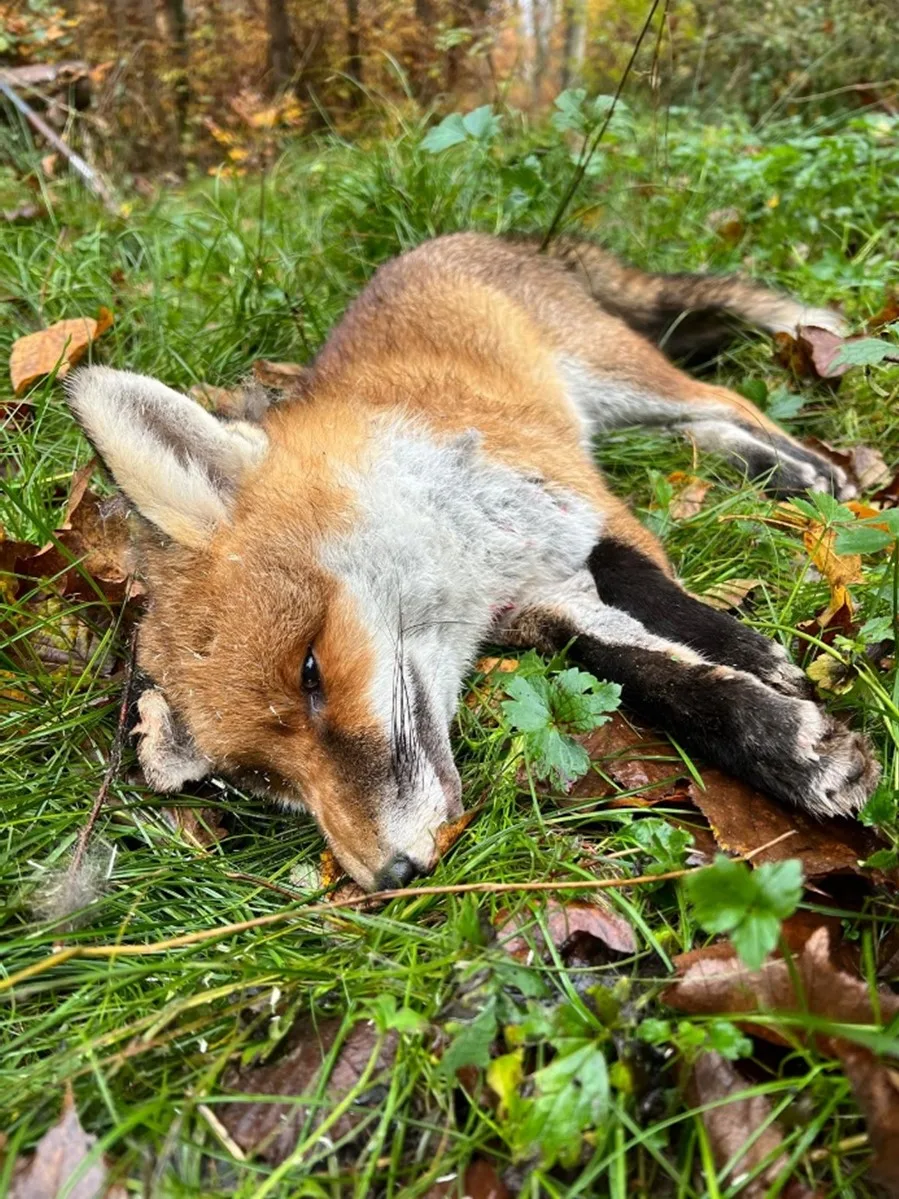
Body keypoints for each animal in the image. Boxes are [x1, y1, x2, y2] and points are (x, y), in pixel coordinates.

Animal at [66, 233, 880, 891]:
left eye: (311, 671)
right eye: (260, 777)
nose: (390, 875)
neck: (473, 569)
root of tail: (468, 238)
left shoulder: (573, 502)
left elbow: (652, 594)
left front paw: (750, 656)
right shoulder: (546, 607)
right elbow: (660, 680)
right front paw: (790, 750)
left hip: (618, 376)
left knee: (721, 401)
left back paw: (810, 471)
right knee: (697, 428)